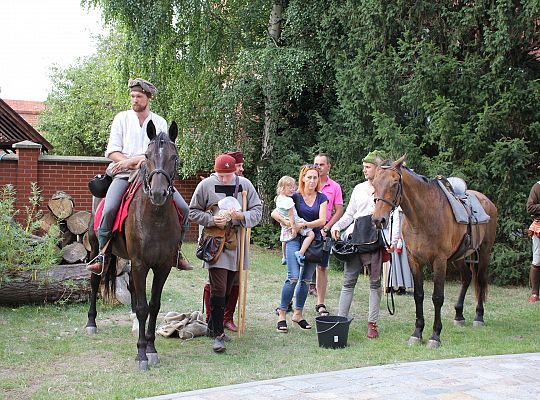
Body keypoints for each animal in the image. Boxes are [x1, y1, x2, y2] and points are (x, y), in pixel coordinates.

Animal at [374, 155, 496, 348]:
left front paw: (435, 336)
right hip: (460, 257)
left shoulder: (439, 261)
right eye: (374, 183)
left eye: (394, 183)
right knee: (467, 278)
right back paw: (459, 315)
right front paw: (417, 333)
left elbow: (437, 297)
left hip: (484, 252)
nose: (379, 220)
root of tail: (486, 200)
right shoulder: (414, 260)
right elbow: (418, 295)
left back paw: (479, 316)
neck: (423, 217)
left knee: (481, 281)